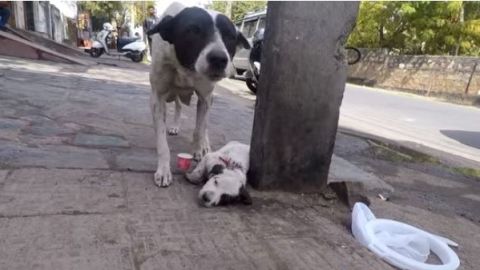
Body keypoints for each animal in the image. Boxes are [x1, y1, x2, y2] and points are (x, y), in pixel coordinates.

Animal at [148, 2, 249, 188]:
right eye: (193, 30)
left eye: (230, 36)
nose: (219, 59)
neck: (186, 67)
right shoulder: (157, 97)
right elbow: (162, 142)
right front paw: (164, 170)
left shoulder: (205, 96)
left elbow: (199, 128)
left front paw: (199, 149)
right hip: (173, 94)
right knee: (179, 106)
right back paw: (175, 126)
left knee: (204, 123)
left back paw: (204, 144)